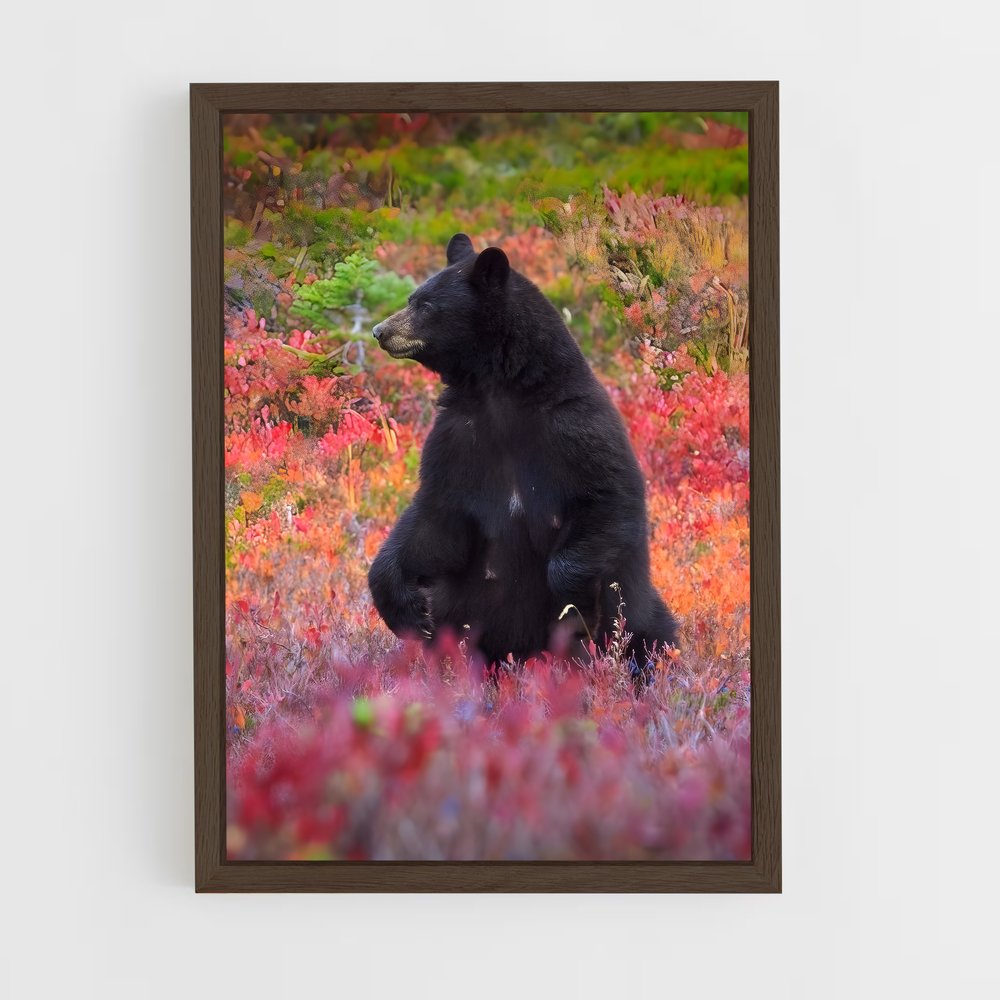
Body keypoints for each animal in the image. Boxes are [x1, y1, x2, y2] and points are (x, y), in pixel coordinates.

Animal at [367, 232, 677, 674]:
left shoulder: (577, 431)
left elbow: (606, 500)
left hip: (643, 612)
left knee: (649, 633)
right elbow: (434, 518)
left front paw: (576, 608)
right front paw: (407, 607)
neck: (500, 395)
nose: (380, 330)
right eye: (412, 297)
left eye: (425, 305)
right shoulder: (458, 440)